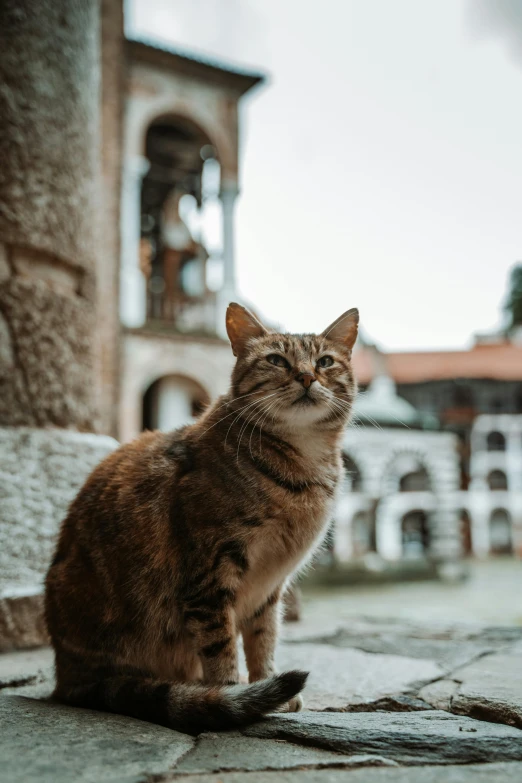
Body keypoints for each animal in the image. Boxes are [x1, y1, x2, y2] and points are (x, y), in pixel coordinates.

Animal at [45, 302, 358, 736]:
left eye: (325, 362)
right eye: (276, 361)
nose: (307, 376)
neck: (302, 469)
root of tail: (68, 675)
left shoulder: (270, 586)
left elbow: (264, 639)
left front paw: (266, 685)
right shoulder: (209, 574)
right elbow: (220, 644)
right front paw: (229, 692)